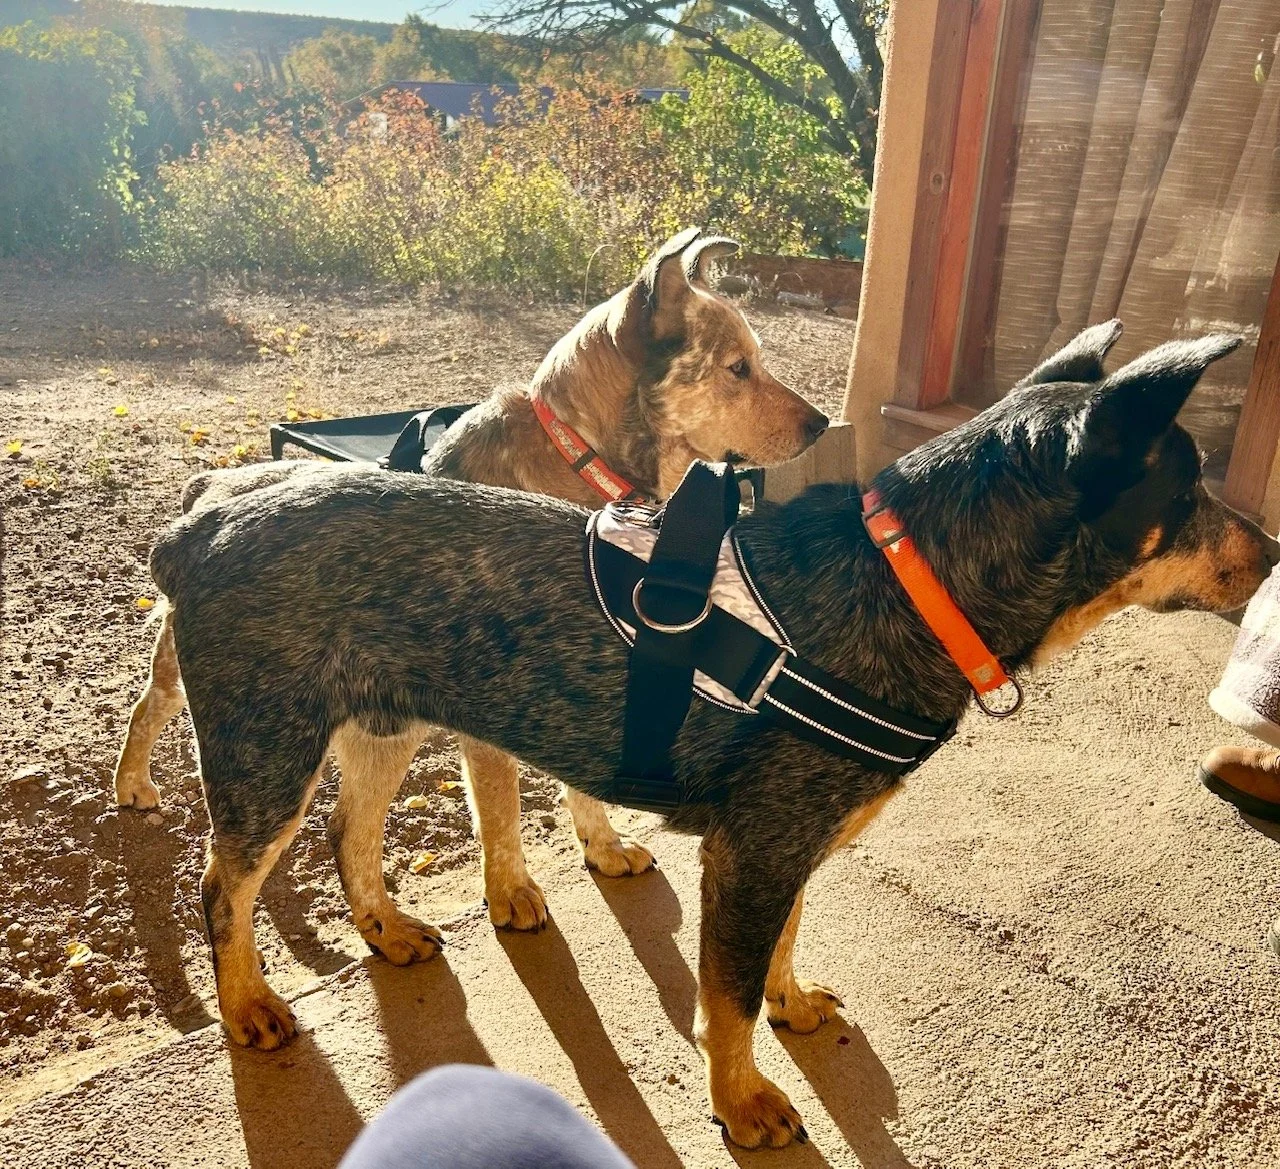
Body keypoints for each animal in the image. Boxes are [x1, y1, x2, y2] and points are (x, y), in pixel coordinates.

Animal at [113, 226, 829, 935]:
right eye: (737, 368)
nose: (823, 425)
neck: (580, 457)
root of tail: (208, 489)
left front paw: (601, 845)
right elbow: (502, 803)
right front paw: (510, 890)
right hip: (219, 686)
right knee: (150, 711)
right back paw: (133, 786)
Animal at [143, 321, 1274, 1148]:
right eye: (1187, 492)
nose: (1269, 552)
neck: (909, 583)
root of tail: (203, 510)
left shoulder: (787, 842)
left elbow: (779, 945)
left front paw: (790, 1001)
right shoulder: (753, 848)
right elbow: (723, 997)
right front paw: (743, 1100)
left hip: (376, 722)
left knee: (350, 834)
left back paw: (382, 927)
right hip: (262, 748)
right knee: (219, 885)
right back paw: (247, 1003)